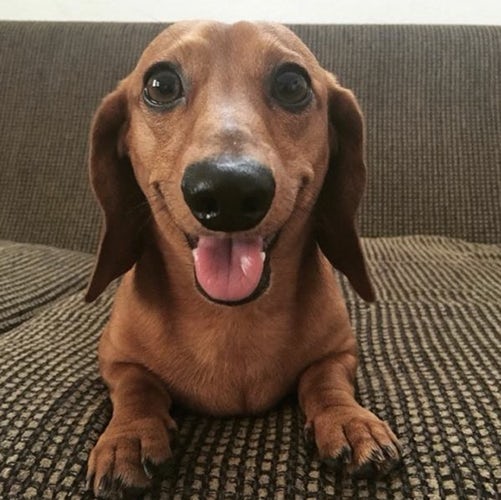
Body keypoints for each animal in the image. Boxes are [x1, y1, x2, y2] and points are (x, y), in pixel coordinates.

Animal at [84, 20, 400, 496]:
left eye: (292, 84)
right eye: (161, 84)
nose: (228, 190)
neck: (232, 321)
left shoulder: (340, 352)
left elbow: (324, 379)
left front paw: (349, 421)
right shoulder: (115, 358)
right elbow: (137, 385)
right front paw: (129, 437)